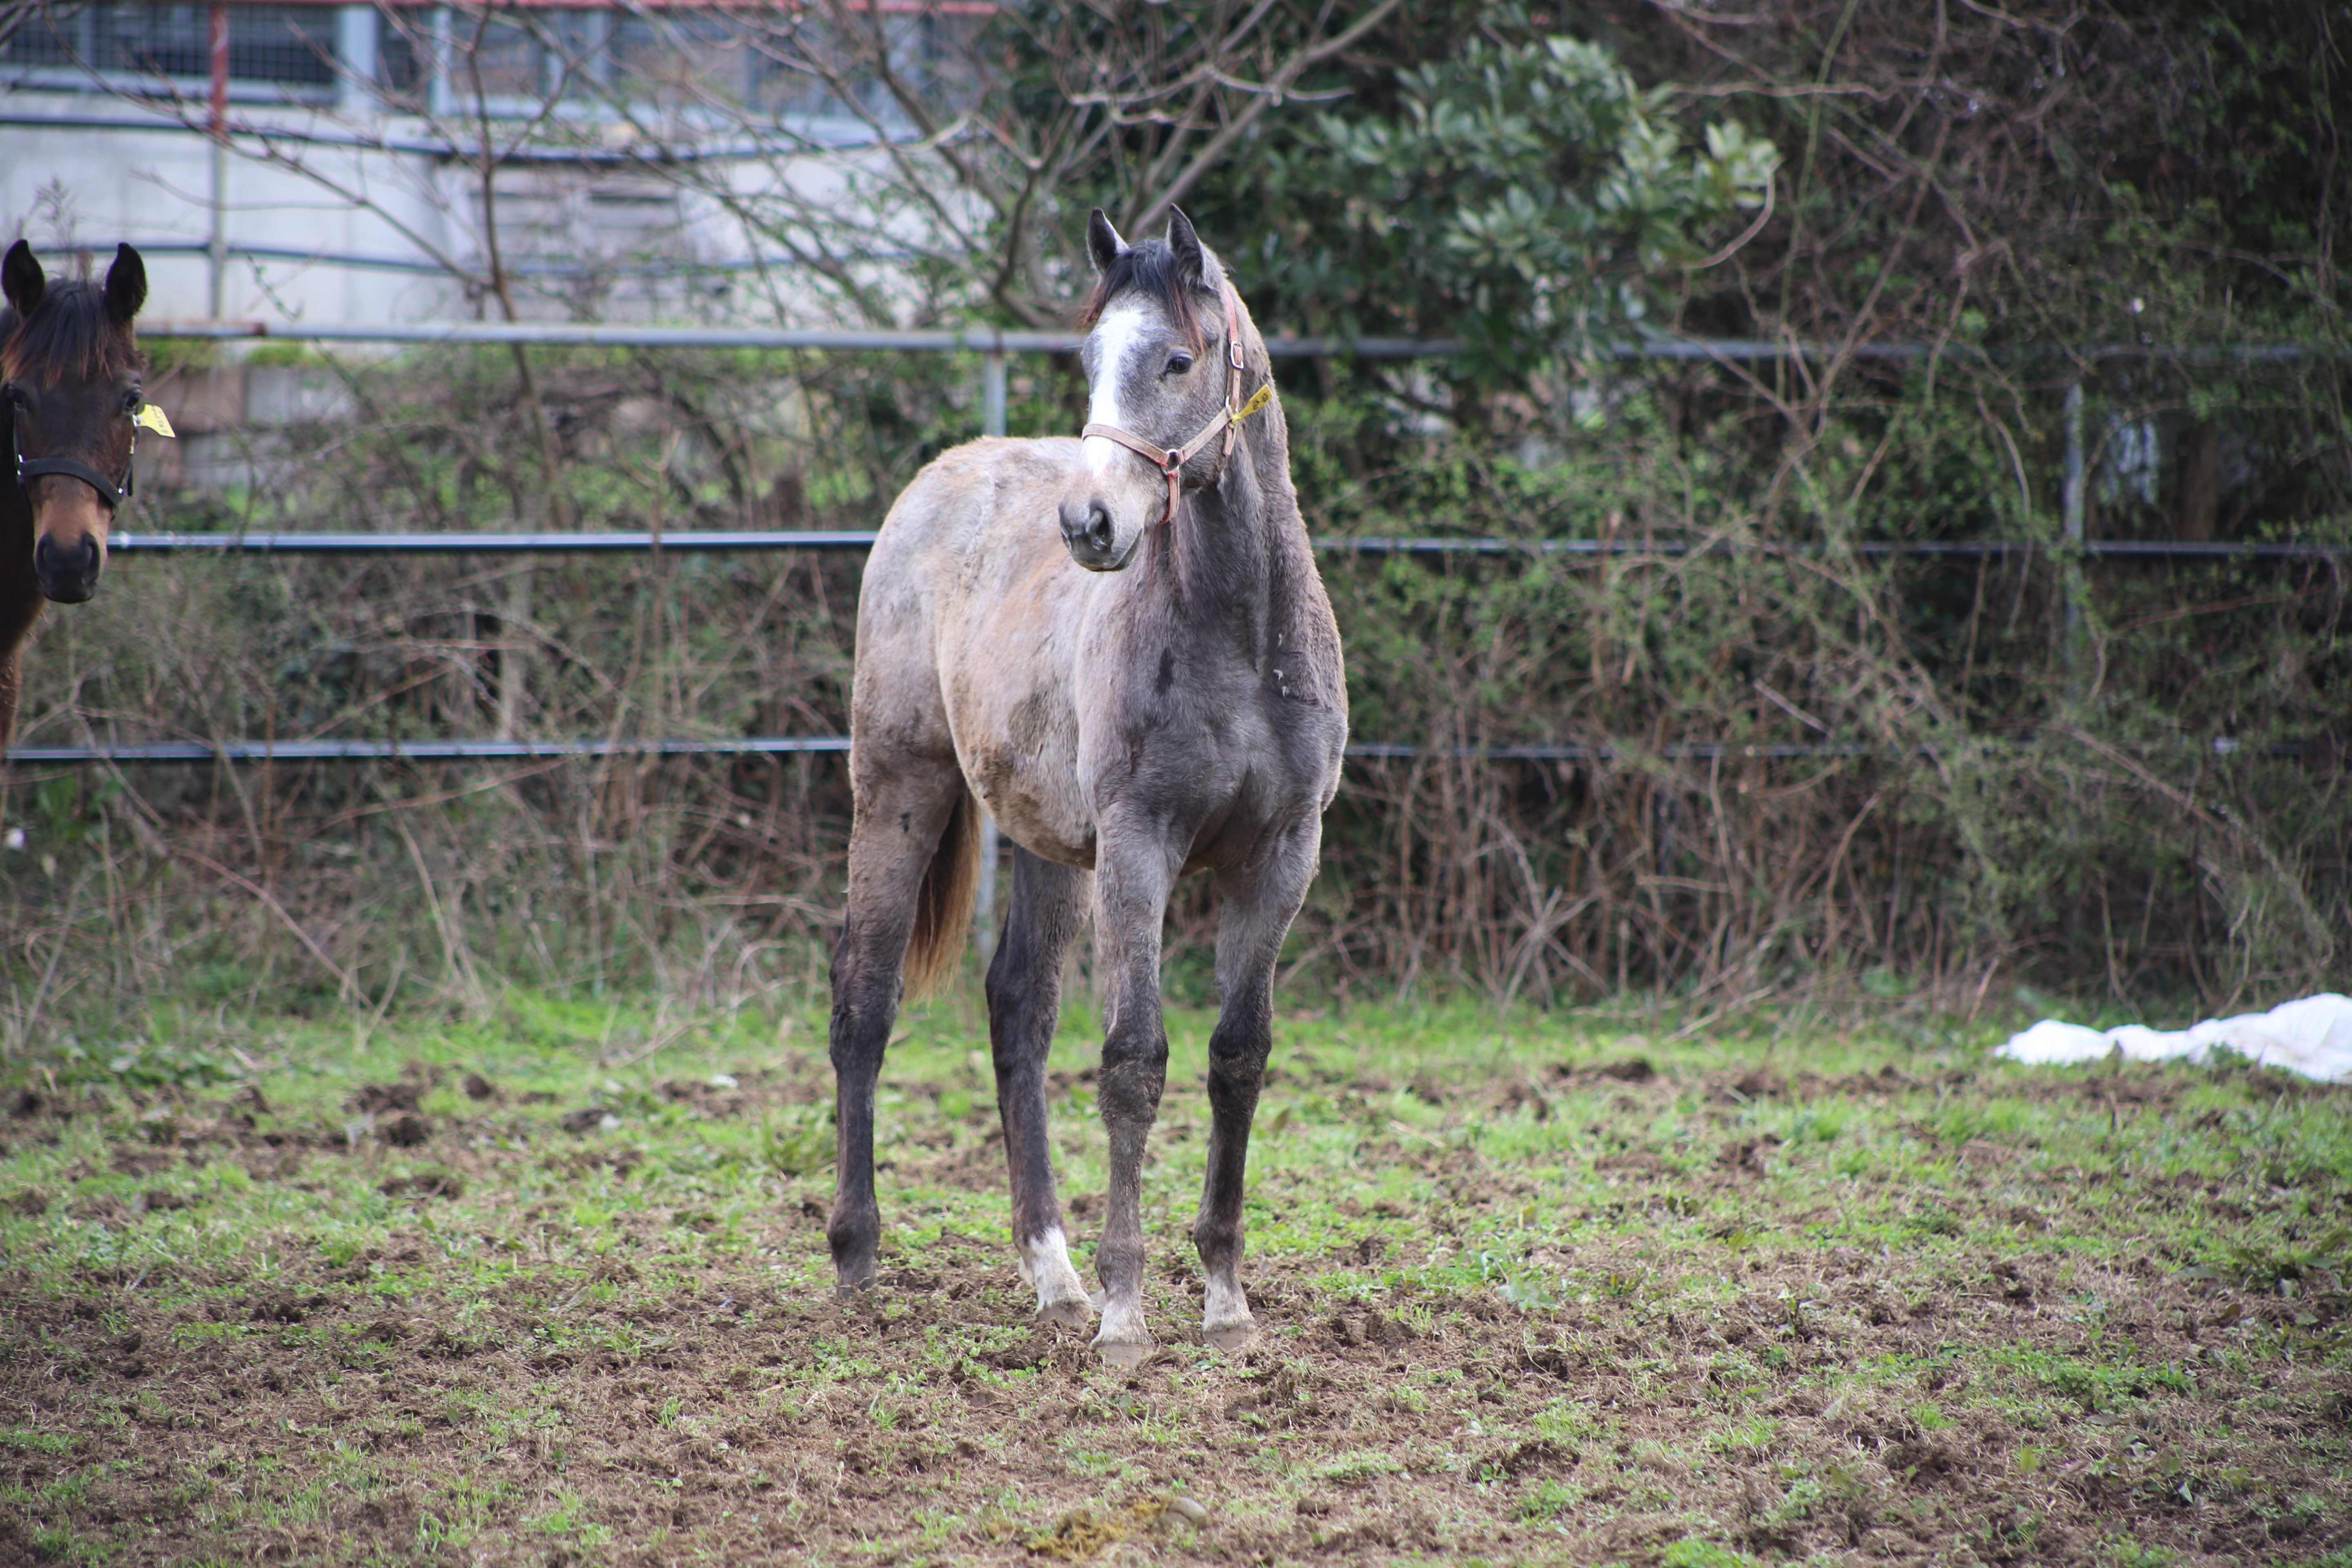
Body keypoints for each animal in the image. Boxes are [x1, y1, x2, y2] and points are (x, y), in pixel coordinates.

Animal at [823, 208, 1345, 1363]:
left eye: (1178, 359)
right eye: (1088, 359)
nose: (1089, 525)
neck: (1241, 636)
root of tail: (940, 477)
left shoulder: (1281, 855)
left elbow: (1237, 1058)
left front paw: (1225, 1302)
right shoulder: (1140, 846)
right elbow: (1133, 1062)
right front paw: (1125, 1315)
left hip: (1047, 846)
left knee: (1017, 1014)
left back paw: (1049, 1273)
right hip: (900, 789)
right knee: (863, 1005)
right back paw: (857, 1255)